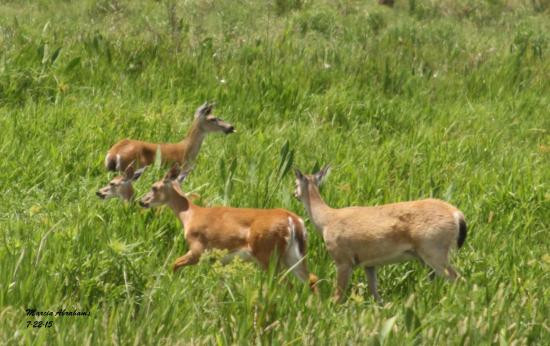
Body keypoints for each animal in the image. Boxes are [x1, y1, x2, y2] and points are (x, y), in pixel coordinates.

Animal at [139, 164, 320, 290]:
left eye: (154, 187)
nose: (141, 201)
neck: (190, 215)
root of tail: (294, 220)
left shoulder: (198, 249)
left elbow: (174, 264)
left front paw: (169, 286)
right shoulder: (221, 260)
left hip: (268, 252)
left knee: (285, 283)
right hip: (293, 254)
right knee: (311, 279)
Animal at [296, 165, 468, 302]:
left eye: (295, 183)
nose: (294, 194)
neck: (326, 220)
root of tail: (457, 214)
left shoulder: (342, 259)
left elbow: (338, 295)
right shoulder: (369, 263)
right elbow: (375, 294)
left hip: (434, 250)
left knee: (458, 278)